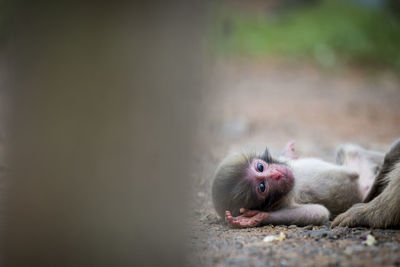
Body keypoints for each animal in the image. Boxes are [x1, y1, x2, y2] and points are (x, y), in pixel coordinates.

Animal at [212, 142, 384, 228]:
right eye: (262, 187)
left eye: (260, 167)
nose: (277, 174)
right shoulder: (285, 202)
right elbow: (317, 213)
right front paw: (257, 217)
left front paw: (287, 151)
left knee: (349, 149)